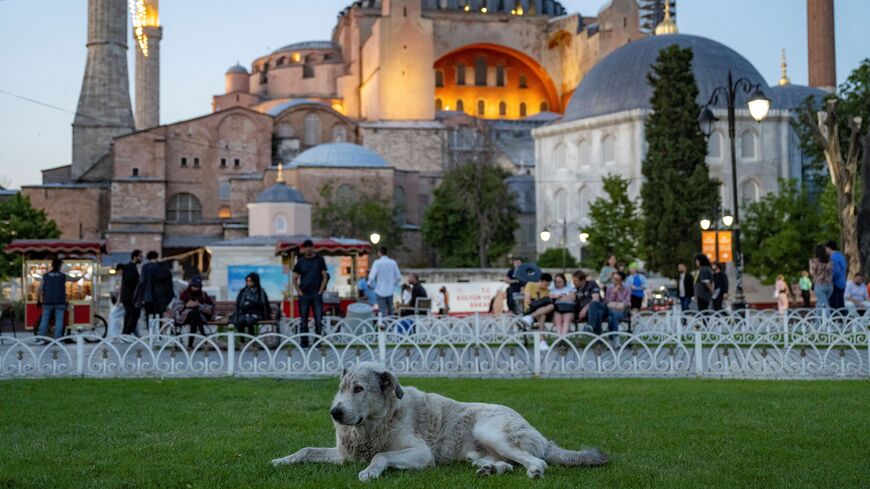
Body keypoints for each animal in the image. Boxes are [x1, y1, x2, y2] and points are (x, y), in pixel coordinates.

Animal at [270, 362, 608, 480]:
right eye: (341, 388)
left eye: (359, 389)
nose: (336, 413)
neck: (375, 422)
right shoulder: (343, 455)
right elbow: (305, 450)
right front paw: (280, 460)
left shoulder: (421, 454)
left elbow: (381, 456)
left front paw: (370, 472)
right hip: (478, 451)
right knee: (506, 464)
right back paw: (490, 470)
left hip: (491, 431)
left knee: (536, 461)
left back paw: (534, 472)